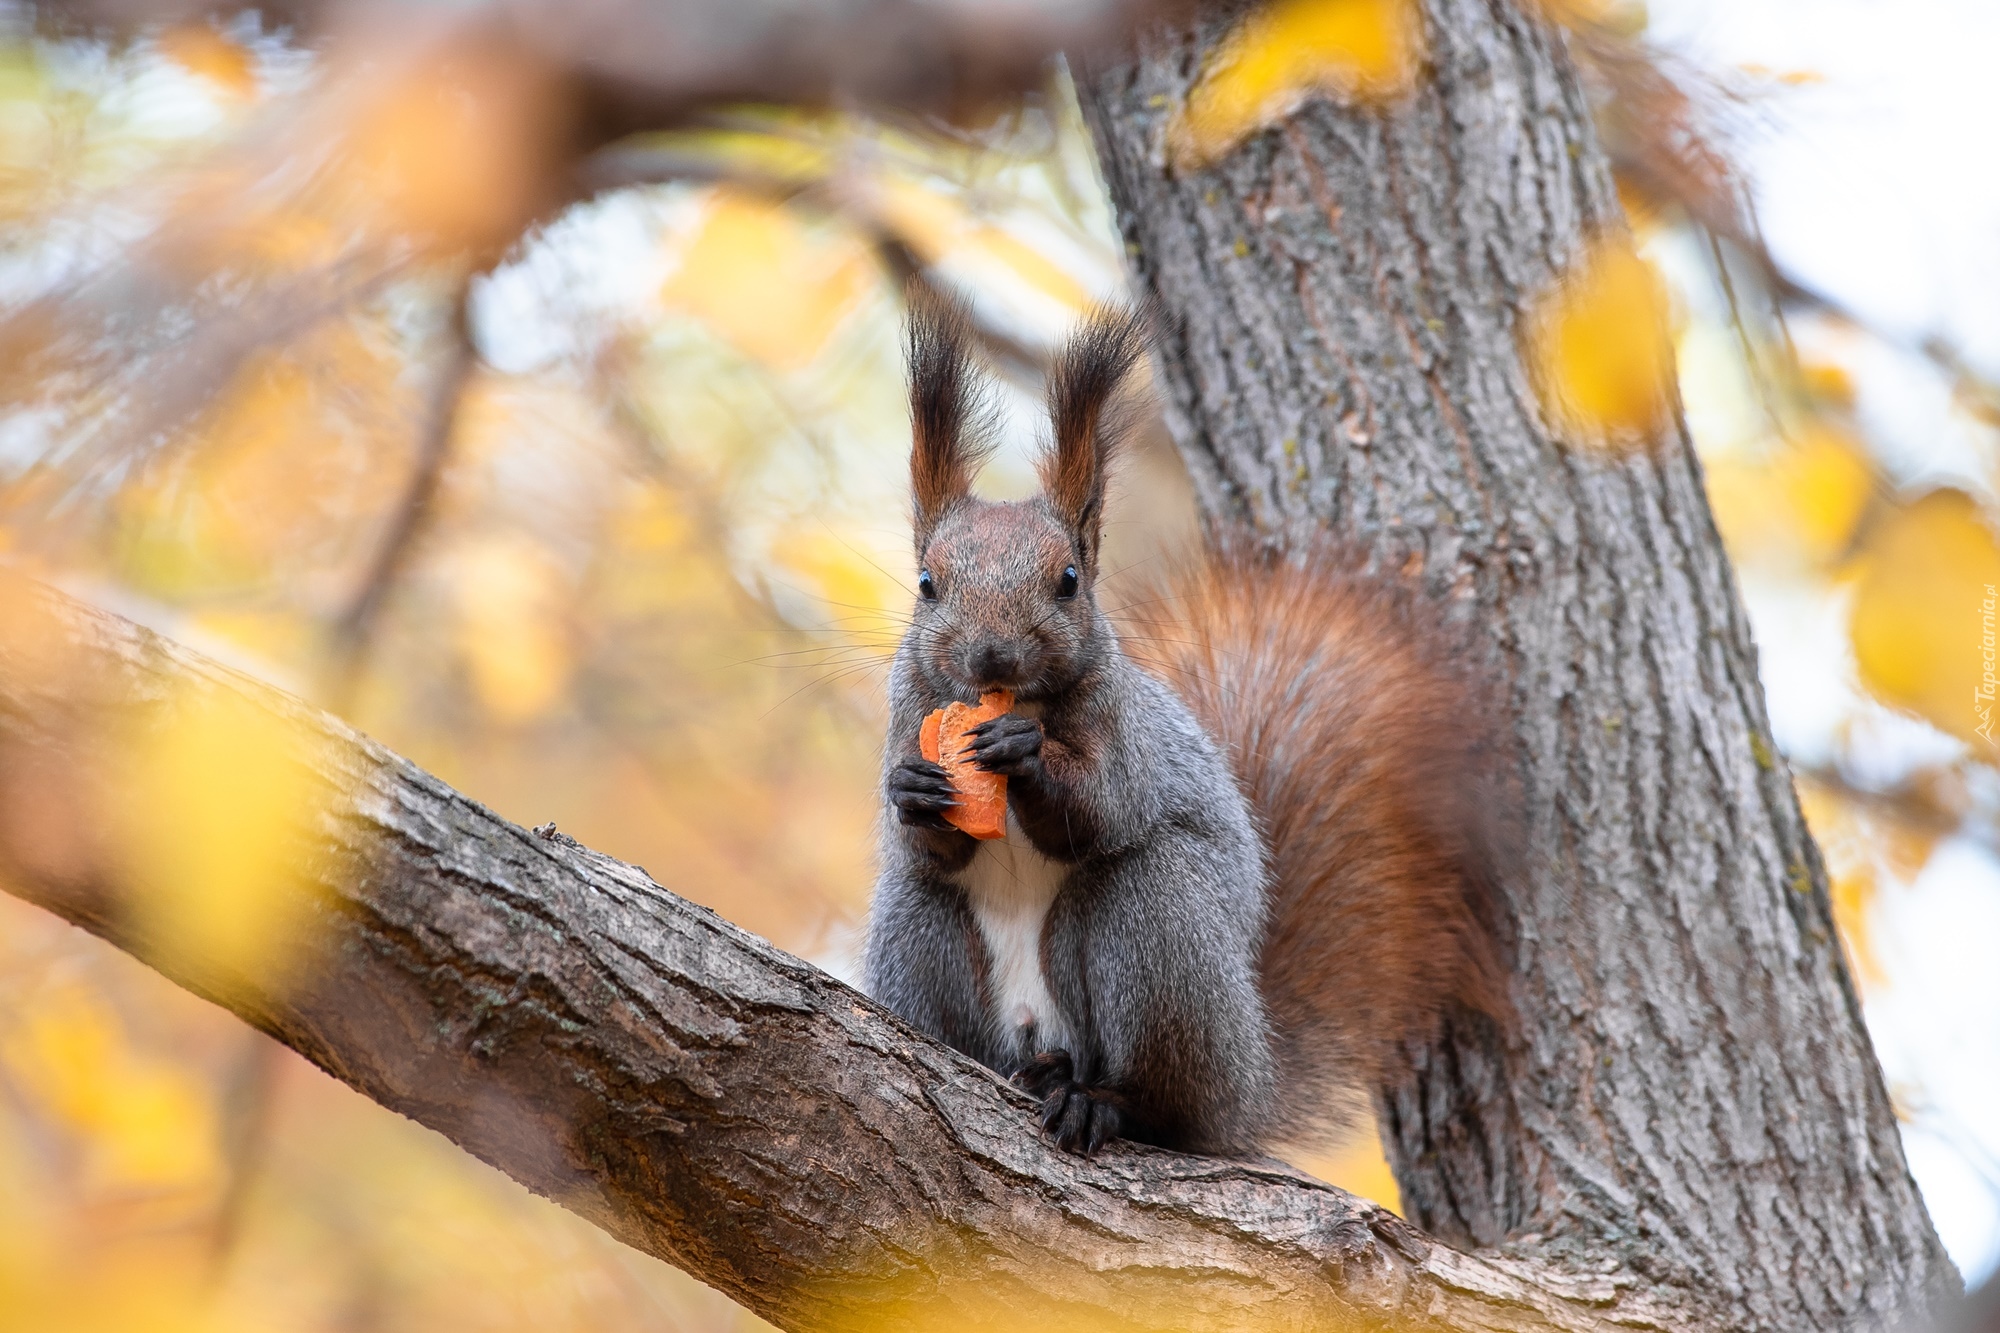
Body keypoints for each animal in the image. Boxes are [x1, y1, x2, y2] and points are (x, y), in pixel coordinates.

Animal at [864, 296, 1512, 1144]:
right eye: (927, 583)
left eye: (1068, 579)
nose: (991, 656)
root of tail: (1251, 1076)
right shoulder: (909, 707)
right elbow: (927, 843)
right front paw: (912, 789)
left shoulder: (1121, 727)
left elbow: (1103, 809)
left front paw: (1026, 752)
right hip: (918, 935)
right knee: (930, 912)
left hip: (1162, 935)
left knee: (1163, 1090)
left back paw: (1099, 1098)